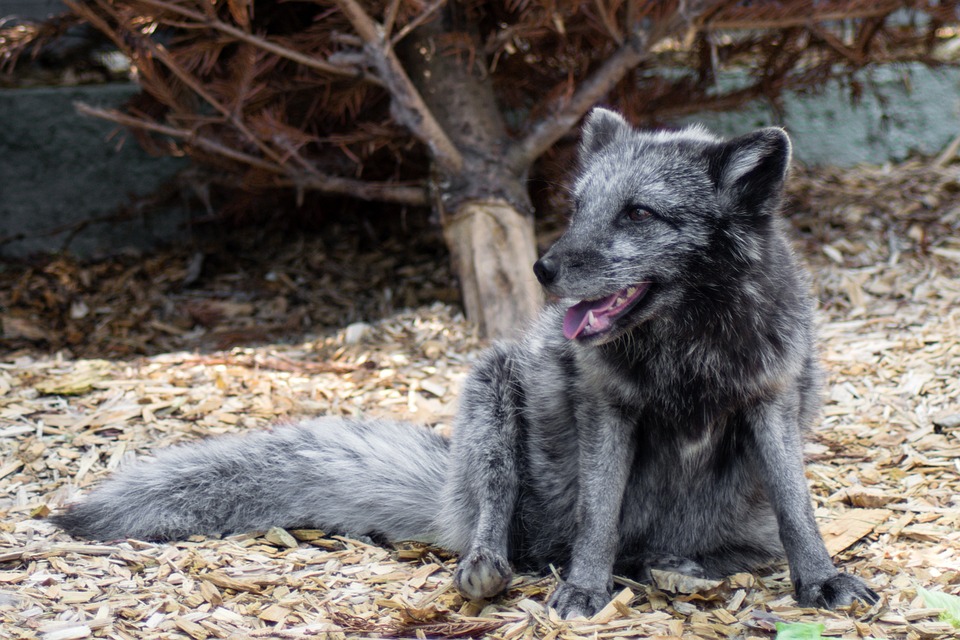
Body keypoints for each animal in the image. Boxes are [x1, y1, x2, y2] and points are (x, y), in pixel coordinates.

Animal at [52, 110, 876, 620]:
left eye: (639, 213)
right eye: (578, 207)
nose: (543, 269)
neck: (688, 346)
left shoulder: (769, 403)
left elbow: (800, 512)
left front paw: (821, 579)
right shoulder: (608, 411)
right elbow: (599, 518)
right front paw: (584, 590)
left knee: (697, 550)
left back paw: (685, 567)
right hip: (492, 394)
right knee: (504, 524)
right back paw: (494, 566)